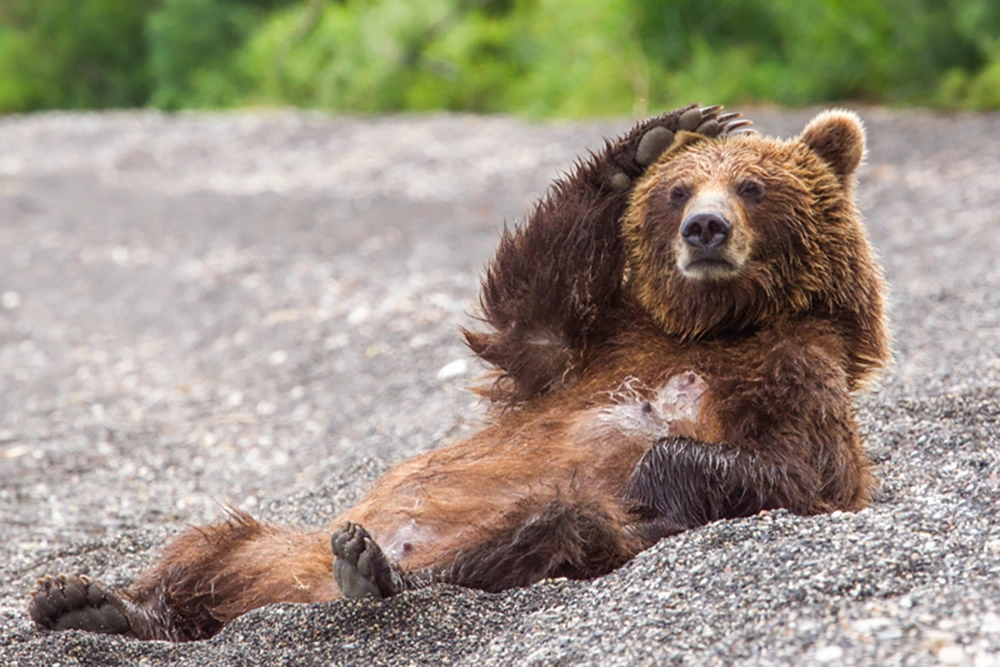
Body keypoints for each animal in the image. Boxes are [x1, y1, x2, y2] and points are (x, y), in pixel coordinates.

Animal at [27, 104, 889, 642]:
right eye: (677, 191)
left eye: (753, 185)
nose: (704, 228)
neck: (707, 326)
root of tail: (292, 601)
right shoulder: (591, 347)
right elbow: (528, 310)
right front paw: (649, 141)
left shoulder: (794, 372)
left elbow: (800, 471)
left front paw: (657, 470)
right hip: (274, 546)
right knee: (207, 543)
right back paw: (89, 603)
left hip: (527, 531)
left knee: (554, 530)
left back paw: (378, 573)